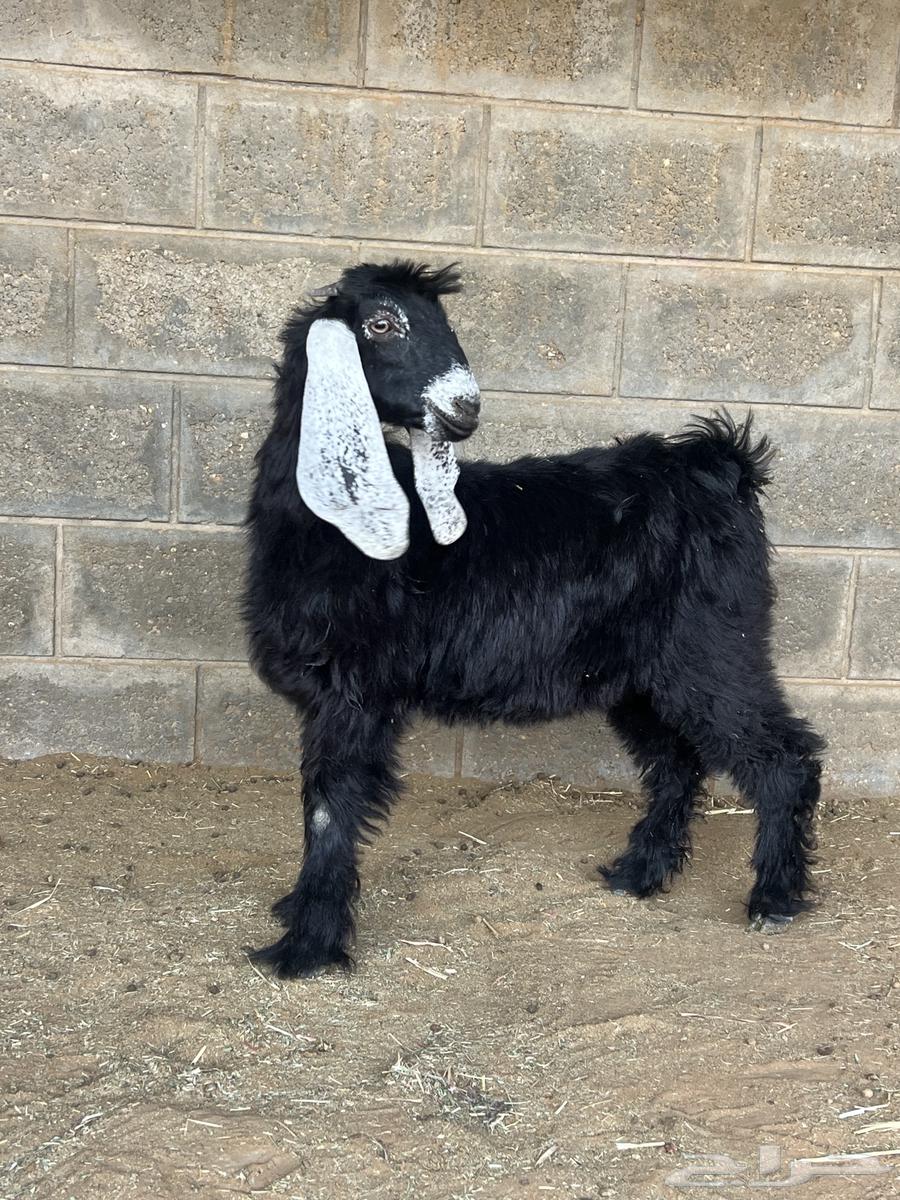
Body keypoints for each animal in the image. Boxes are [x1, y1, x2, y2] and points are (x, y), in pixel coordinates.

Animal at [243, 259, 825, 978]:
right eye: (380, 323)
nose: (465, 406)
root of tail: (720, 466)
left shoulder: (355, 693)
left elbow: (331, 809)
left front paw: (308, 947)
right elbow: (316, 804)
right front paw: (298, 918)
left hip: (714, 647)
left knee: (783, 755)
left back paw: (774, 897)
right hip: (641, 674)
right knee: (677, 763)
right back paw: (639, 872)